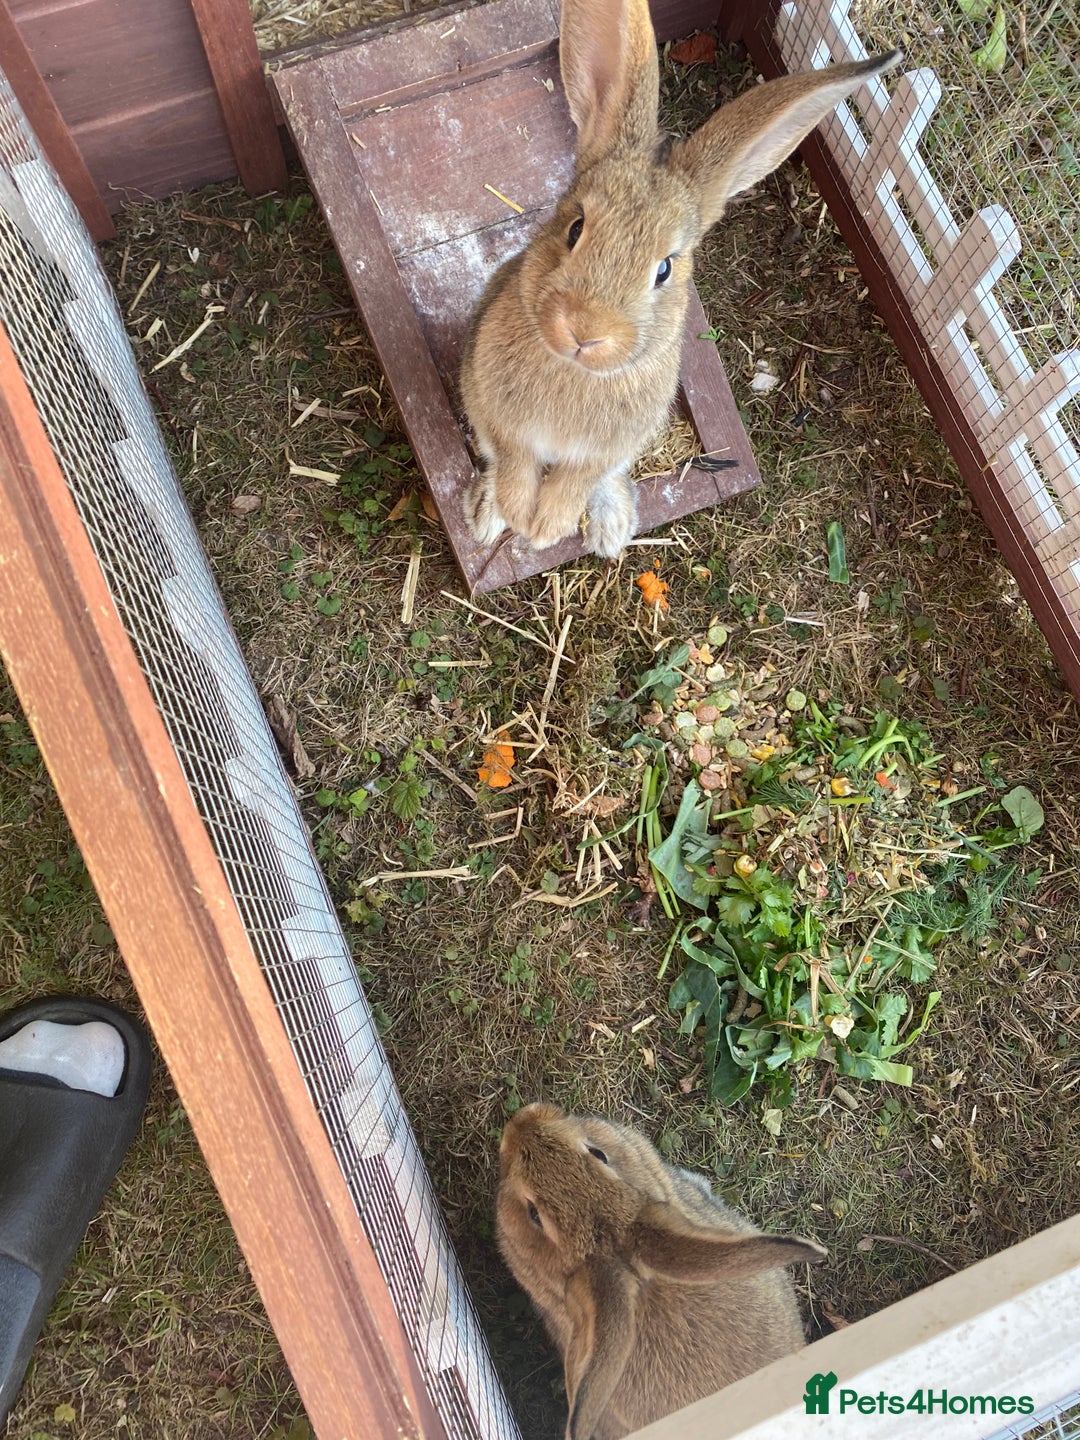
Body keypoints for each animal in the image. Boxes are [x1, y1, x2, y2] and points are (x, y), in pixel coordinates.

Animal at [460, 0, 901, 560]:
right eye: (576, 227)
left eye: (665, 269)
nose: (583, 330)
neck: (577, 371)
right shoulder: (501, 420)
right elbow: (514, 460)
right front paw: (522, 517)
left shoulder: (602, 451)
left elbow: (580, 477)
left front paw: (546, 528)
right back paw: (487, 515)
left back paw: (610, 530)